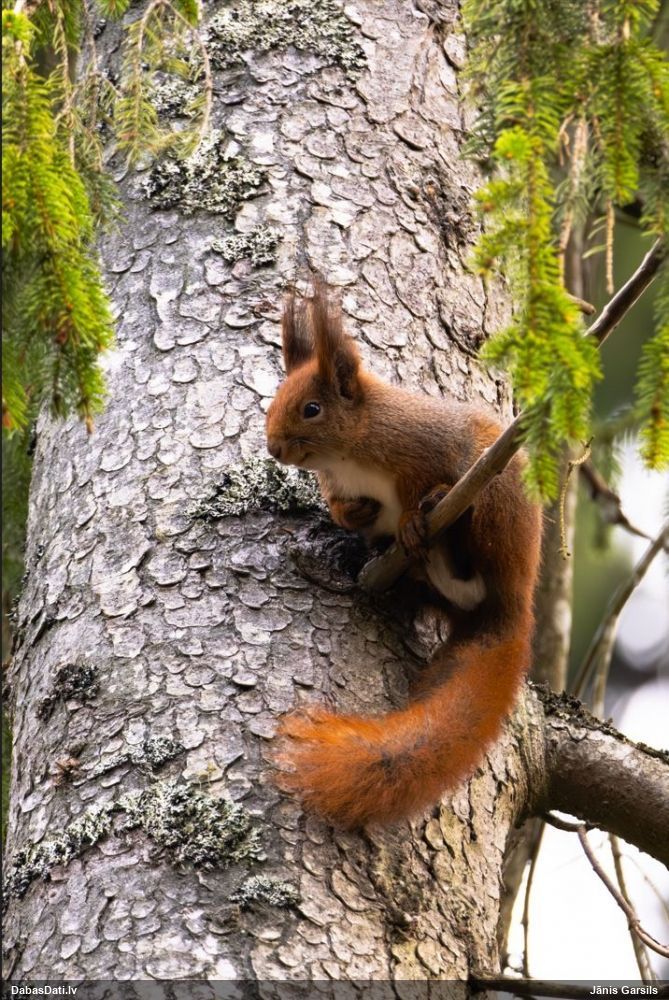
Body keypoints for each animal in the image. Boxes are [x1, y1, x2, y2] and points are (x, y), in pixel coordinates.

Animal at [265, 282, 542, 828]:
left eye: (311, 409)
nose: (273, 448)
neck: (348, 454)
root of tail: (511, 605)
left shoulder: (425, 446)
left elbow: (421, 482)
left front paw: (416, 513)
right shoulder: (339, 485)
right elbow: (345, 509)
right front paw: (357, 512)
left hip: (498, 500)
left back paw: (437, 525)